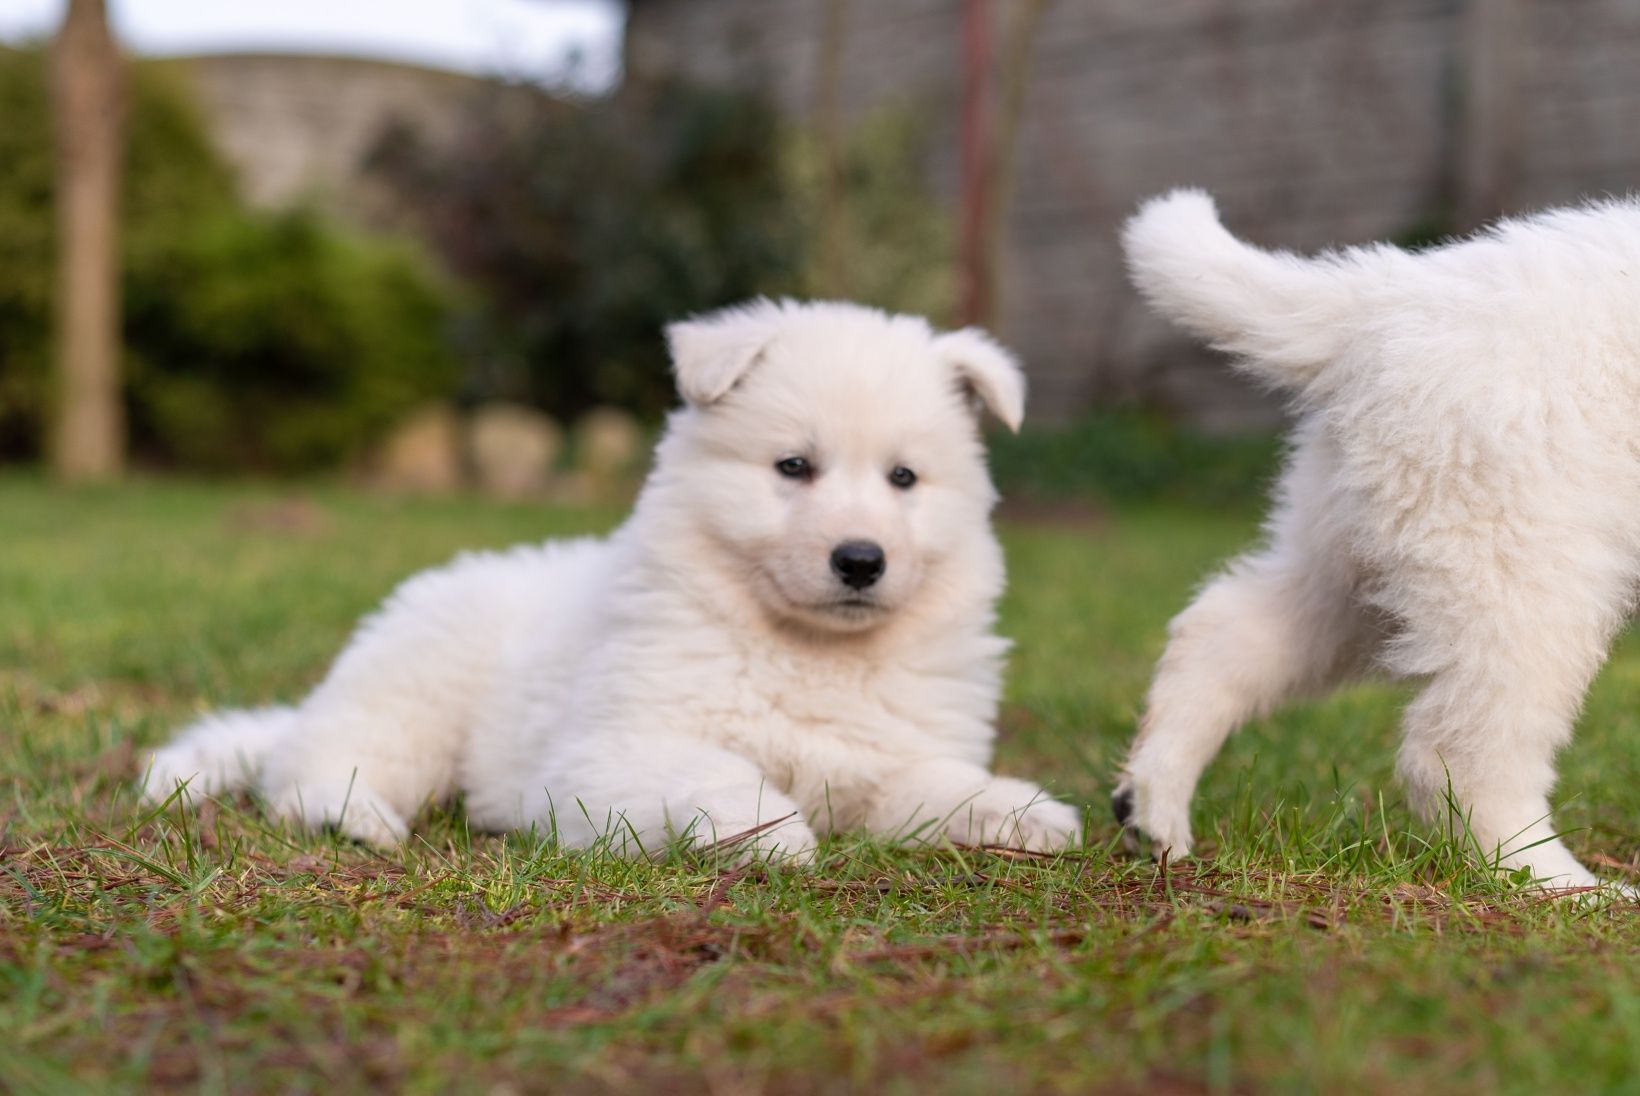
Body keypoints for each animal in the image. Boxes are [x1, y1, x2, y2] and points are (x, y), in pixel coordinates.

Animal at [144, 296, 1088, 853]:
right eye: (792, 467)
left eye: (904, 479)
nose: (861, 559)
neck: (809, 651)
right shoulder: (607, 756)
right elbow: (715, 775)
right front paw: (773, 833)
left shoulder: (888, 758)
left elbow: (935, 784)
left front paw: (1026, 812)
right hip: (412, 698)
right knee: (312, 765)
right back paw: (362, 817)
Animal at [1115, 190, 1640, 892]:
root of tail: (1382, 298)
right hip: (1523, 561)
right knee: (1462, 750)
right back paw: (1554, 882)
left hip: (1364, 551)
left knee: (1224, 633)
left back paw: (1154, 812)